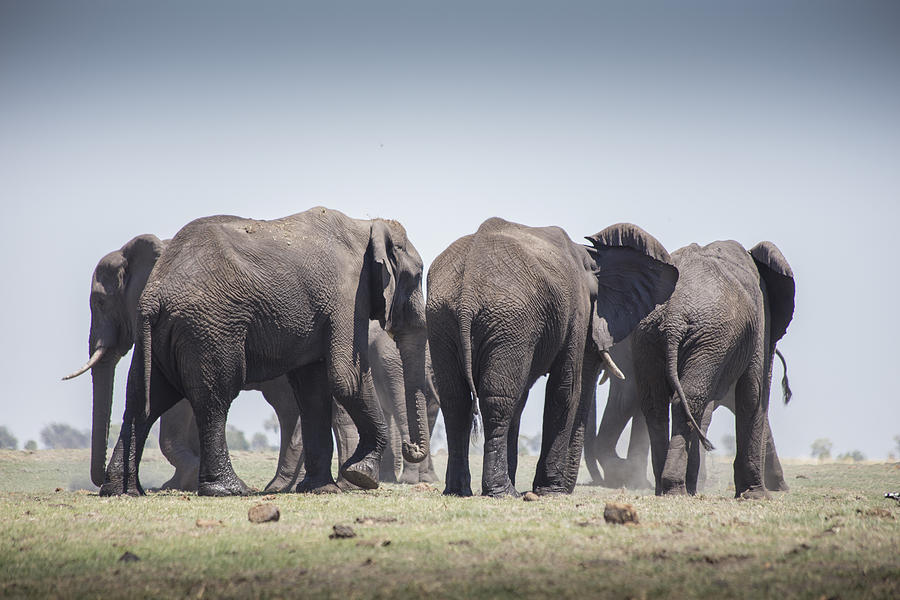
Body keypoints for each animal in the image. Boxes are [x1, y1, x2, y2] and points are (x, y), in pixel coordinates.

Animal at [62, 234, 306, 492]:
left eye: (100, 302)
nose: (98, 481)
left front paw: (180, 481)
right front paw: (187, 480)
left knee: (287, 407)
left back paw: (280, 486)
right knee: (288, 407)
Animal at [98, 206, 428, 496]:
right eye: (417, 276)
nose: (412, 448)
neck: (367, 226)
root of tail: (154, 295)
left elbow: (313, 389)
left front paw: (321, 489)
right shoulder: (346, 295)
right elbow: (346, 377)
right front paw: (363, 475)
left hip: (160, 334)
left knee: (144, 400)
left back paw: (122, 491)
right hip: (209, 328)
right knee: (214, 399)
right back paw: (229, 490)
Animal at [428, 218, 676, 500]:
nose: (569, 488)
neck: (589, 257)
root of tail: (467, 291)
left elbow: (525, 396)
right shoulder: (575, 311)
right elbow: (566, 388)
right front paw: (552, 491)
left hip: (444, 319)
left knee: (455, 401)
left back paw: (458, 491)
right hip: (507, 320)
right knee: (498, 399)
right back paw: (503, 492)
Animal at [624, 239, 796, 496]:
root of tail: (674, 315)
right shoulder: (760, 320)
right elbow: (752, 394)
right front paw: (755, 496)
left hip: (649, 335)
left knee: (655, 405)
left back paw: (666, 489)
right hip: (711, 337)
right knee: (689, 399)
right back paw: (676, 489)